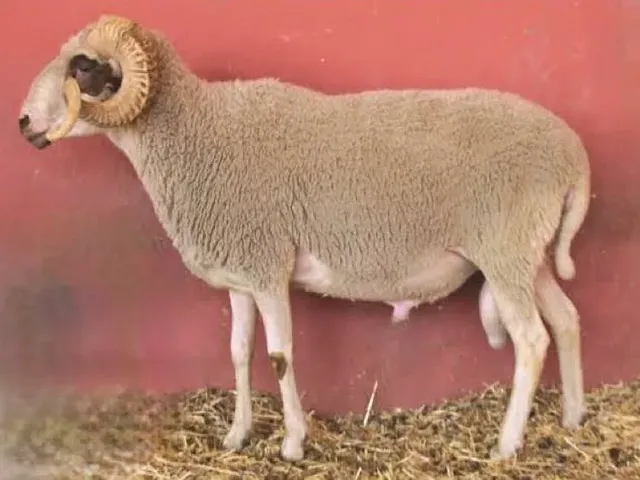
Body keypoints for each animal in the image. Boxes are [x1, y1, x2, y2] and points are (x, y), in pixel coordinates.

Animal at [18, 15, 591, 462]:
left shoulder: (269, 265)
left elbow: (279, 356)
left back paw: (507, 445)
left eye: (82, 67)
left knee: (531, 340)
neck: (197, 135)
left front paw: (293, 443)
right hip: (529, 255)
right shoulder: (241, 275)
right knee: (565, 320)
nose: (23, 123)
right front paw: (237, 435)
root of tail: (575, 157)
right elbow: (238, 351)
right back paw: (573, 416)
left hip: (506, 250)